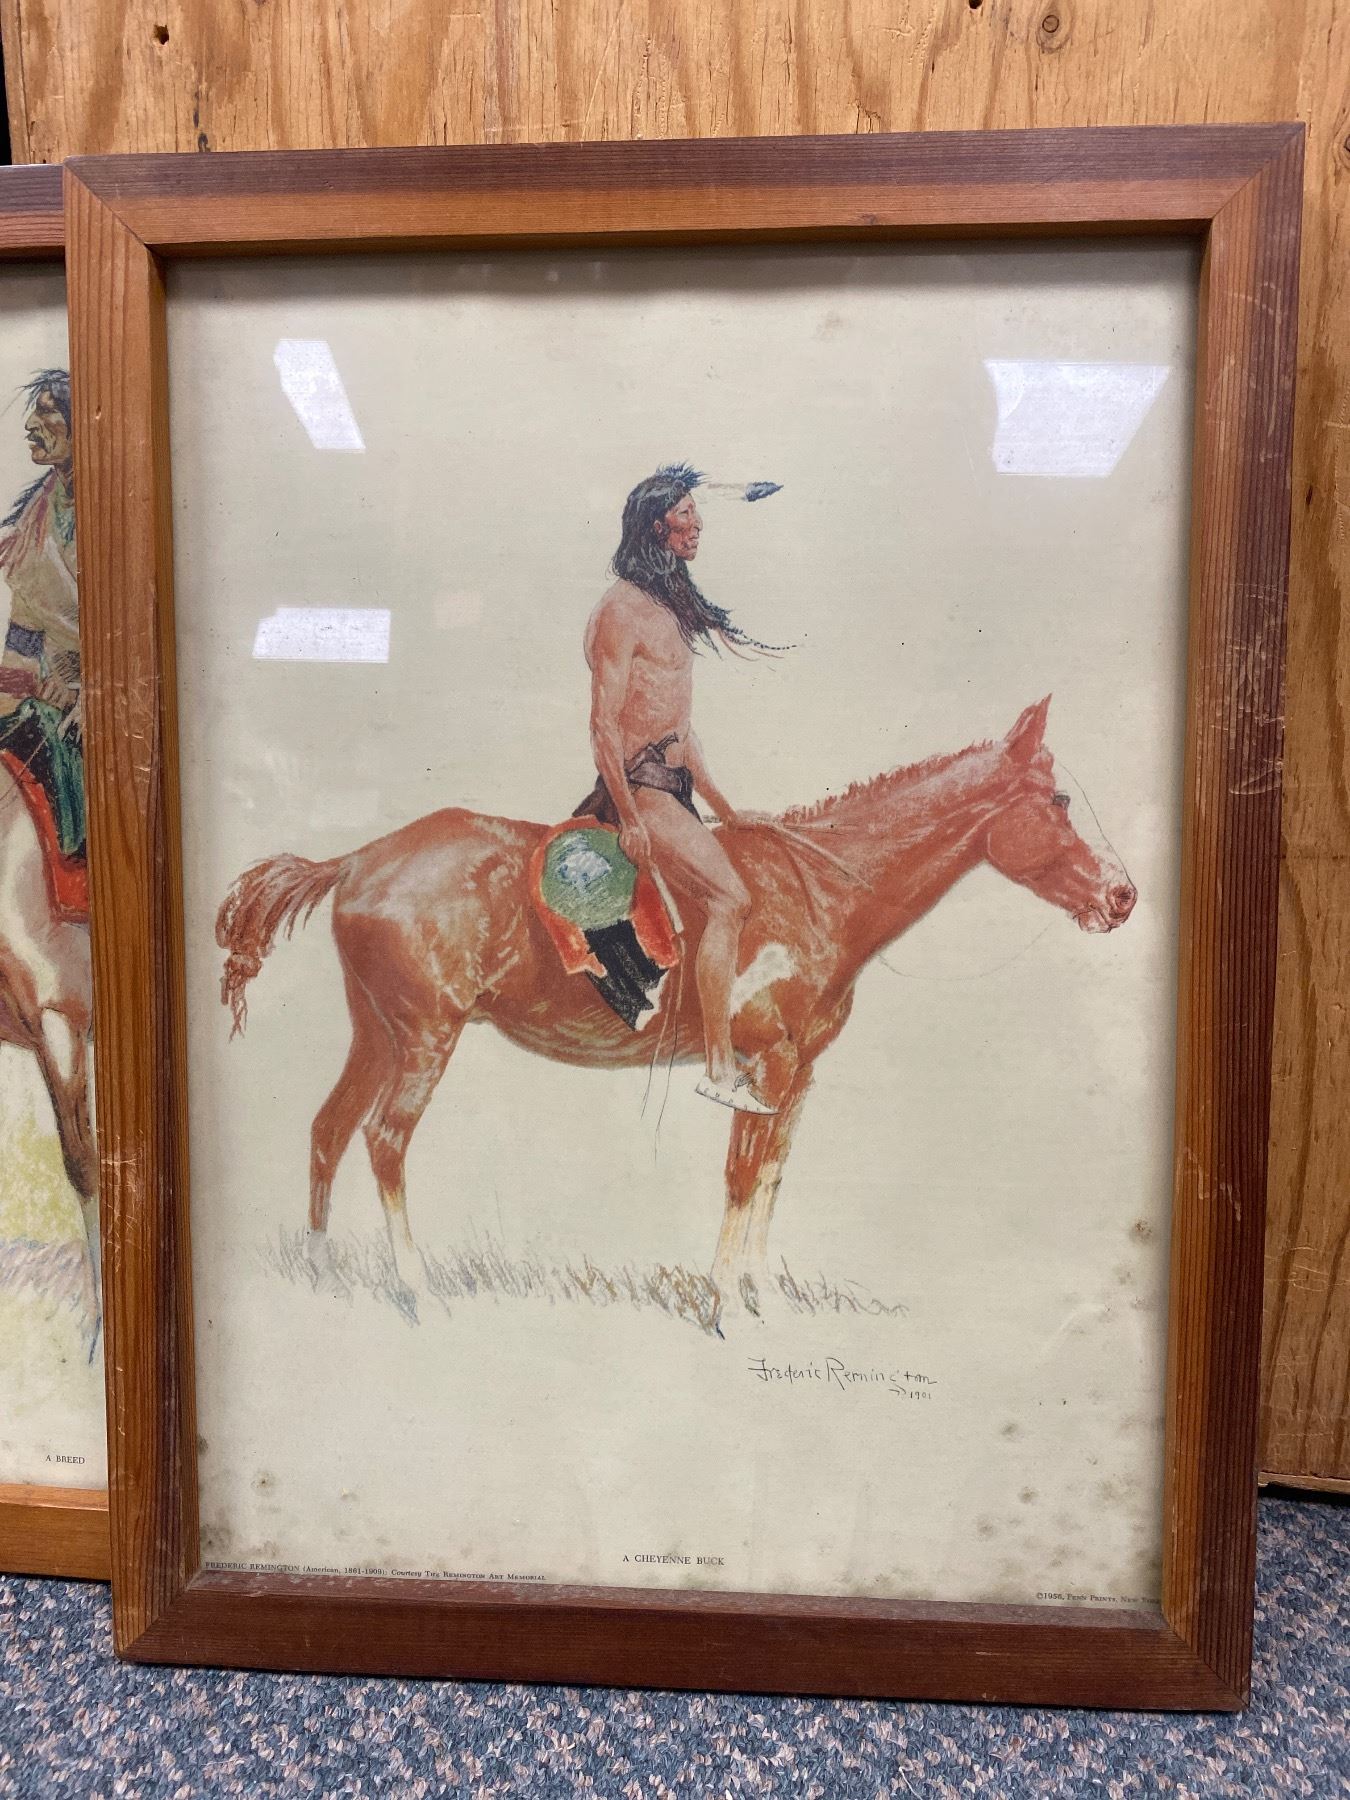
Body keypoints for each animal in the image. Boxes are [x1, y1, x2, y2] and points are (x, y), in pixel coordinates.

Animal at [216, 696, 1136, 1317]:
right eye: (1059, 802)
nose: (1122, 896)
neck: (818, 892)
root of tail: (357, 859)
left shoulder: (796, 1075)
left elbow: (773, 1175)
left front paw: (768, 1298)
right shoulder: (763, 1064)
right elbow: (740, 1177)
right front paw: (725, 1305)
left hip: (375, 1031)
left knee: (329, 1129)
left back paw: (323, 1273)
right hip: (423, 1038)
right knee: (384, 1140)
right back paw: (417, 1290)